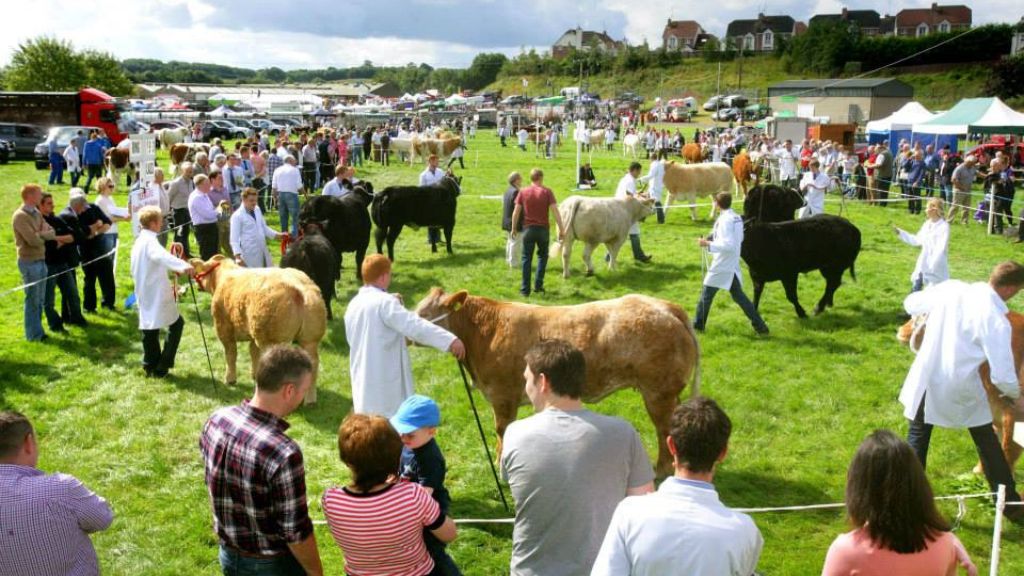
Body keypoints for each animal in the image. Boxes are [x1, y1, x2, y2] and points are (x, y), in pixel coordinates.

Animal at [411, 289, 700, 473]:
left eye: (423, 314)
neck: (485, 333)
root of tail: (666, 307)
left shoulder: (503, 396)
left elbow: (502, 430)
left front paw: (501, 464)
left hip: (658, 391)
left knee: (663, 430)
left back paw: (661, 470)